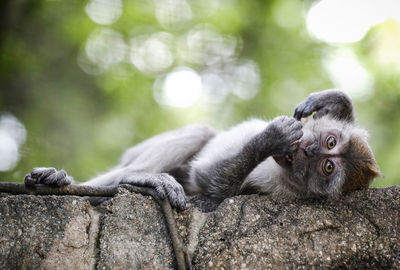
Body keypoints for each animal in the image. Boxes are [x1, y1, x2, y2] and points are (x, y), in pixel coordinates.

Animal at [24, 89, 382, 210]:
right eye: (330, 143)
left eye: (327, 168)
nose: (308, 151)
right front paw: (330, 101)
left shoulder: (271, 188)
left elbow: (211, 183)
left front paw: (267, 140)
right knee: (201, 133)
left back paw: (137, 180)